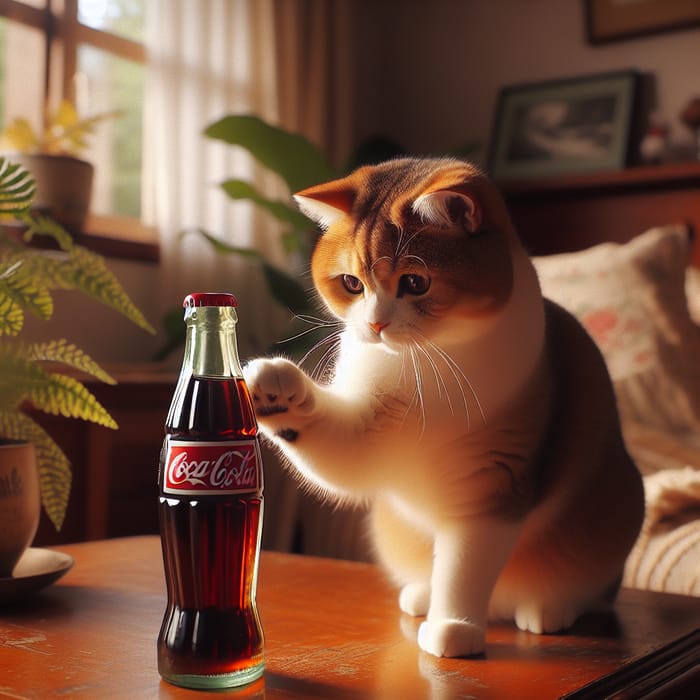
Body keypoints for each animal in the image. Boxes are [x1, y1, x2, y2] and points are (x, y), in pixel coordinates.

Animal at [242, 156, 644, 660]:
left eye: (415, 282)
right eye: (351, 283)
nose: (375, 325)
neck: (423, 363)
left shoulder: (494, 483)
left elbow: (465, 565)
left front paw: (454, 628)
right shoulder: (366, 435)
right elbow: (339, 454)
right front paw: (274, 390)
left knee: (591, 590)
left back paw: (547, 608)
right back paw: (422, 593)